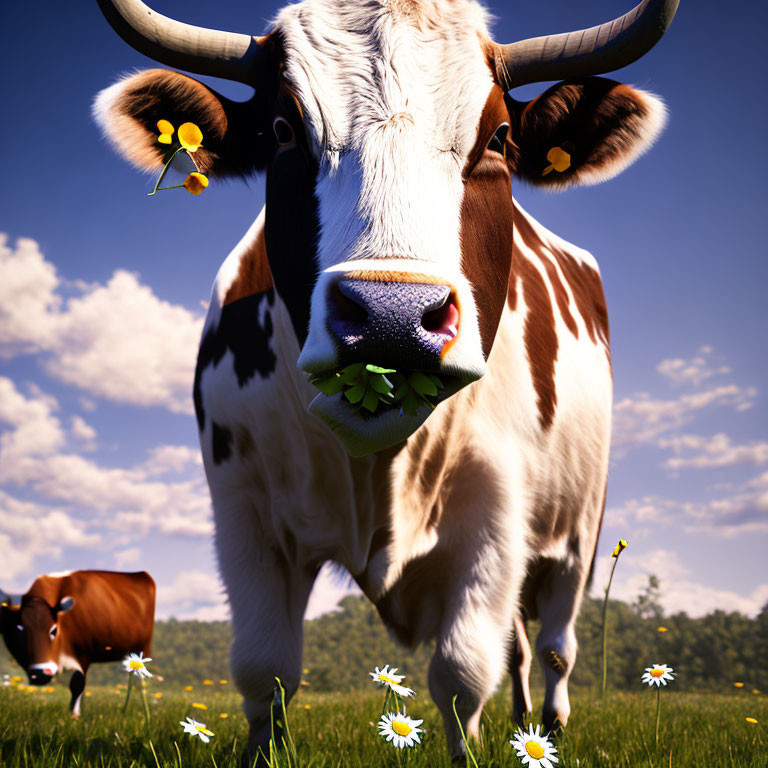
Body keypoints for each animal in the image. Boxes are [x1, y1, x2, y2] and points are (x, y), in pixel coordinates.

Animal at [0, 568, 156, 712]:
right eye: (19, 629)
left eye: (54, 630)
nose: (40, 673)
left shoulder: (84, 653)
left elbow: (77, 685)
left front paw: (73, 716)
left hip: (144, 647)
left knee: (142, 682)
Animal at [94, 0, 680, 760]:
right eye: (284, 129)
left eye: (498, 136)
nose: (391, 317)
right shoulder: (241, 502)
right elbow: (264, 667)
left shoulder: (497, 510)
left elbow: (462, 672)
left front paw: (470, 753)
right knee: (523, 648)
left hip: (579, 530)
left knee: (553, 646)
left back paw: (546, 731)